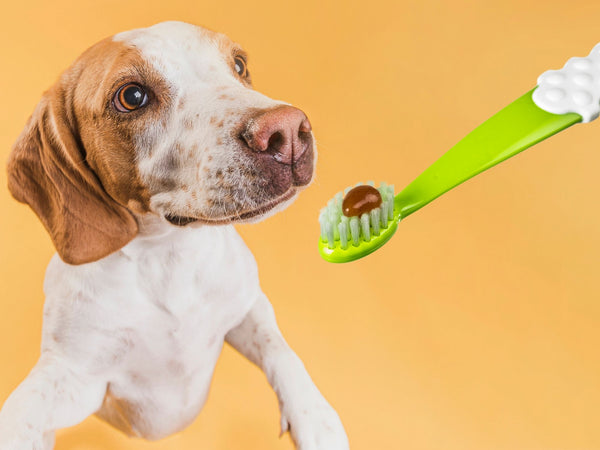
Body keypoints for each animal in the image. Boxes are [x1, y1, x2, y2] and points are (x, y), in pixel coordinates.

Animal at [1, 22, 346, 450]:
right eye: (132, 96)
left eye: (239, 65)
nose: (287, 129)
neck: (168, 258)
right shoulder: (77, 380)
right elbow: (19, 415)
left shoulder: (248, 307)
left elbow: (281, 351)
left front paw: (316, 417)